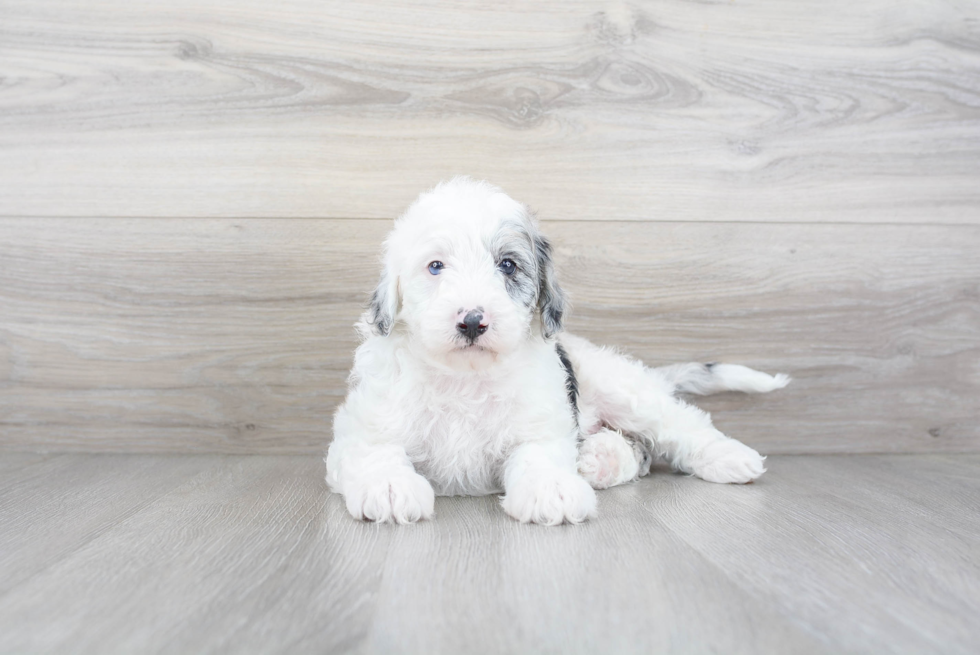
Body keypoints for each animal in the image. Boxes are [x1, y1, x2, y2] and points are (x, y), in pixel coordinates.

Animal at [326, 177, 792, 524]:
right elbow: (375, 450)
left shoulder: (540, 421)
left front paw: (550, 489)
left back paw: (729, 457)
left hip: (624, 389)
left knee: (677, 426)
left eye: (508, 265)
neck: (465, 377)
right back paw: (600, 459)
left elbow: (539, 455)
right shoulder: (366, 423)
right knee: (639, 452)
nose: (473, 321)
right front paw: (389, 486)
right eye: (435, 266)